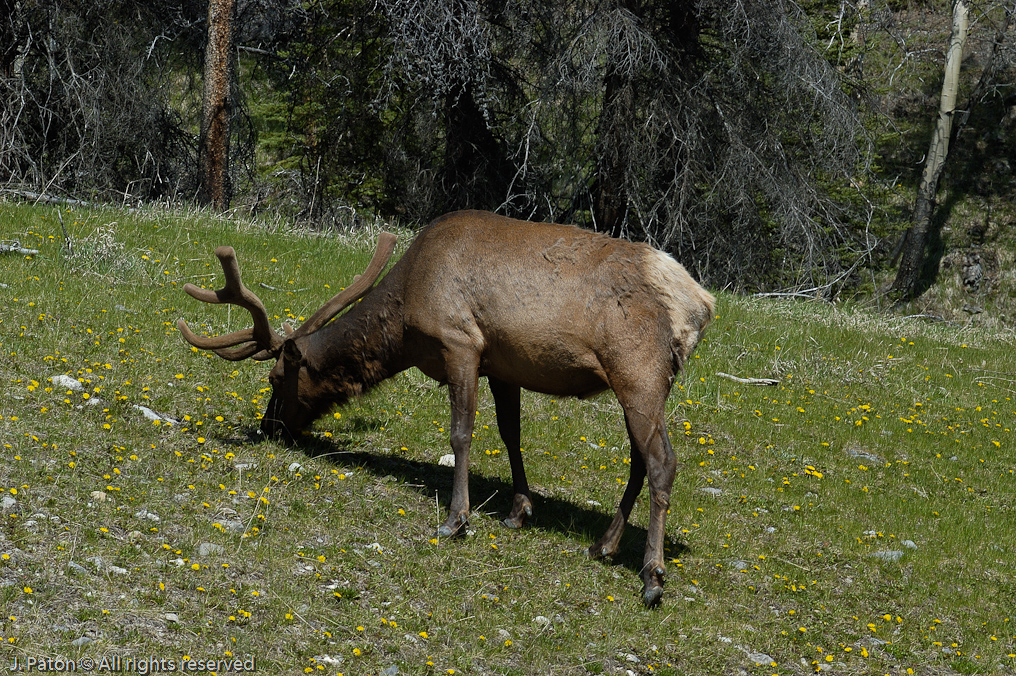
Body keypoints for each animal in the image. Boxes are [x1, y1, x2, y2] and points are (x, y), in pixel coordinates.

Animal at [177, 209, 715, 606]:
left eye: (275, 378)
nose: (269, 426)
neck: (403, 324)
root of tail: (700, 305)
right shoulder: (502, 363)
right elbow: (510, 433)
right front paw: (519, 510)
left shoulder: (461, 343)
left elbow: (461, 433)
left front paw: (457, 519)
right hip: (641, 384)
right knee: (639, 460)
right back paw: (603, 544)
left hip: (638, 372)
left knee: (663, 462)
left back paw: (651, 575)